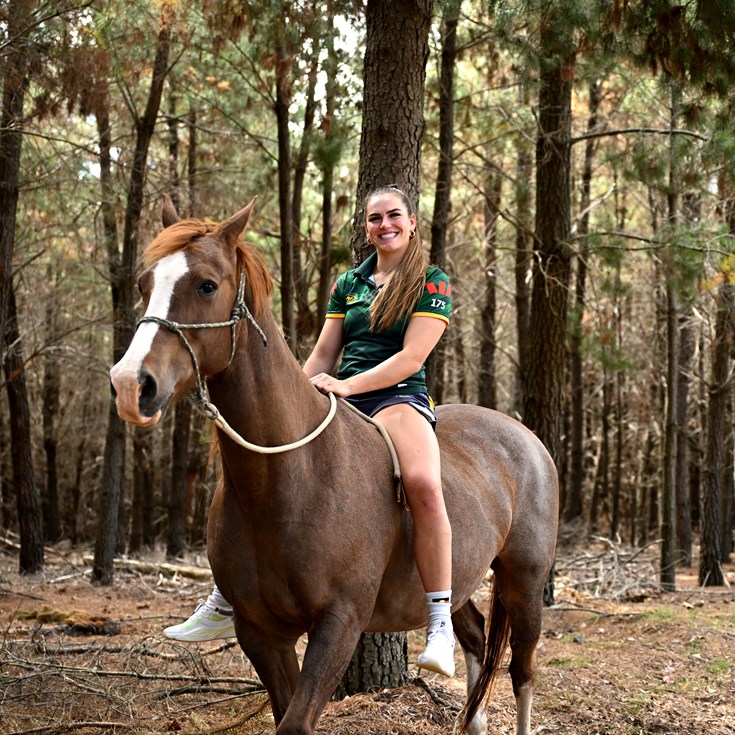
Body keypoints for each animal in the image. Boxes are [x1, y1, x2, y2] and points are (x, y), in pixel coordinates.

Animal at [108, 198, 556, 732]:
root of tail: (525, 437)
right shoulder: (261, 632)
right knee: (474, 640)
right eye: (144, 284)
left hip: (524, 580)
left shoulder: (339, 624)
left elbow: (297, 721)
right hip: (465, 578)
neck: (291, 479)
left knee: (522, 670)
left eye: (207, 285)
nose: (131, 384)